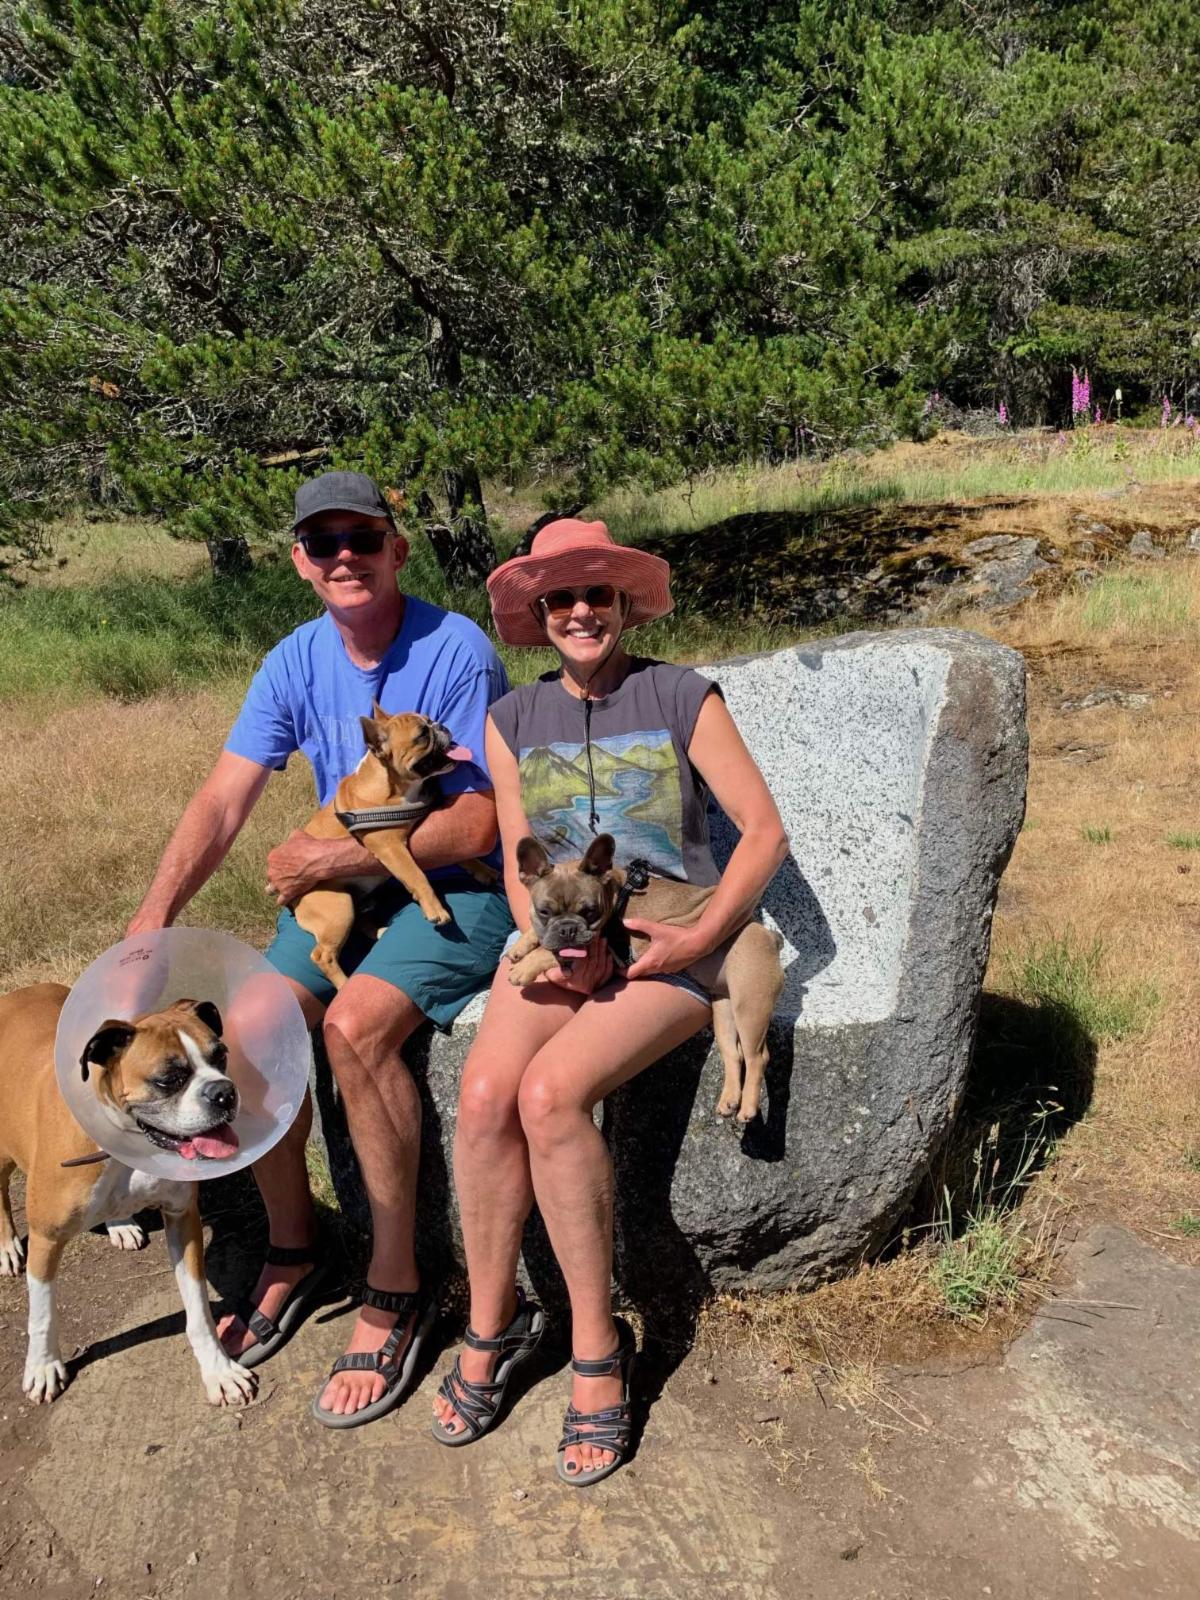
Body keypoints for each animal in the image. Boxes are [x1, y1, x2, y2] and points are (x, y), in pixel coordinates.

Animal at [0, 985, 256, 1407]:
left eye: (221, 1056)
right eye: (169, 1078)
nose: (224, 1092)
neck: (126, 1141)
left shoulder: (182, 1219)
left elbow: (198, 1308)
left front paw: (218, 1369)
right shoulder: (46, 1237)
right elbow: (42, 1314)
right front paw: (42, 1366)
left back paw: (119, 1223)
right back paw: (6, 1247)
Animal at [290, 707, 498, 991]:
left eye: (430, 721)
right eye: (422, 735)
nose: (441, 725)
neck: (394, 789)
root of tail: (292, 902)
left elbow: (461, 855)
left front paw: (483, 869)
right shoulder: (391, 848)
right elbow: (417, 876)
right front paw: (436, 909)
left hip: (351, 906)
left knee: (360, 923)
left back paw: (380, 931)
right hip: (338, 908)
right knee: (323, 955)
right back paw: (344, 984)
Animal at [506, 834, 784, 1122]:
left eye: (590, 911)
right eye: (544, 912)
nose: (568, 929)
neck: (613, 896)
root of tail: (769, 935)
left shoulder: (595, 944)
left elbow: (551, 953)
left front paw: (525, 967)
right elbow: (540, 937)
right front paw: (522, 945)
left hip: (750, 1003)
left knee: (757, 1056)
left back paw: (748, 1108)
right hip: (724, 1008)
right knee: (733, 1051)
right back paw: (729, 1100)